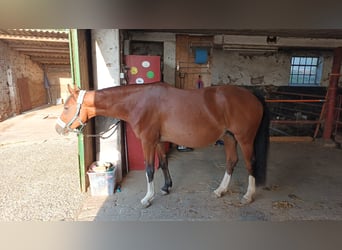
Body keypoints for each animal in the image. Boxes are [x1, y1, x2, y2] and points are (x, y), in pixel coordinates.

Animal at [55, 82, 270, 207]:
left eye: (66, 107)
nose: (58, 129)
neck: (139, 102)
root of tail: (253, 96)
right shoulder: (159, 141)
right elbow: (164, 164)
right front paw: (166, 188)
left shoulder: (147, 141)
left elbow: (150, 169)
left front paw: (147, 198)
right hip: (229, 137)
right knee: (231, 161)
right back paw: (220, 190)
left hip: (244, 139)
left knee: (250, 163)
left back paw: (248, 196)